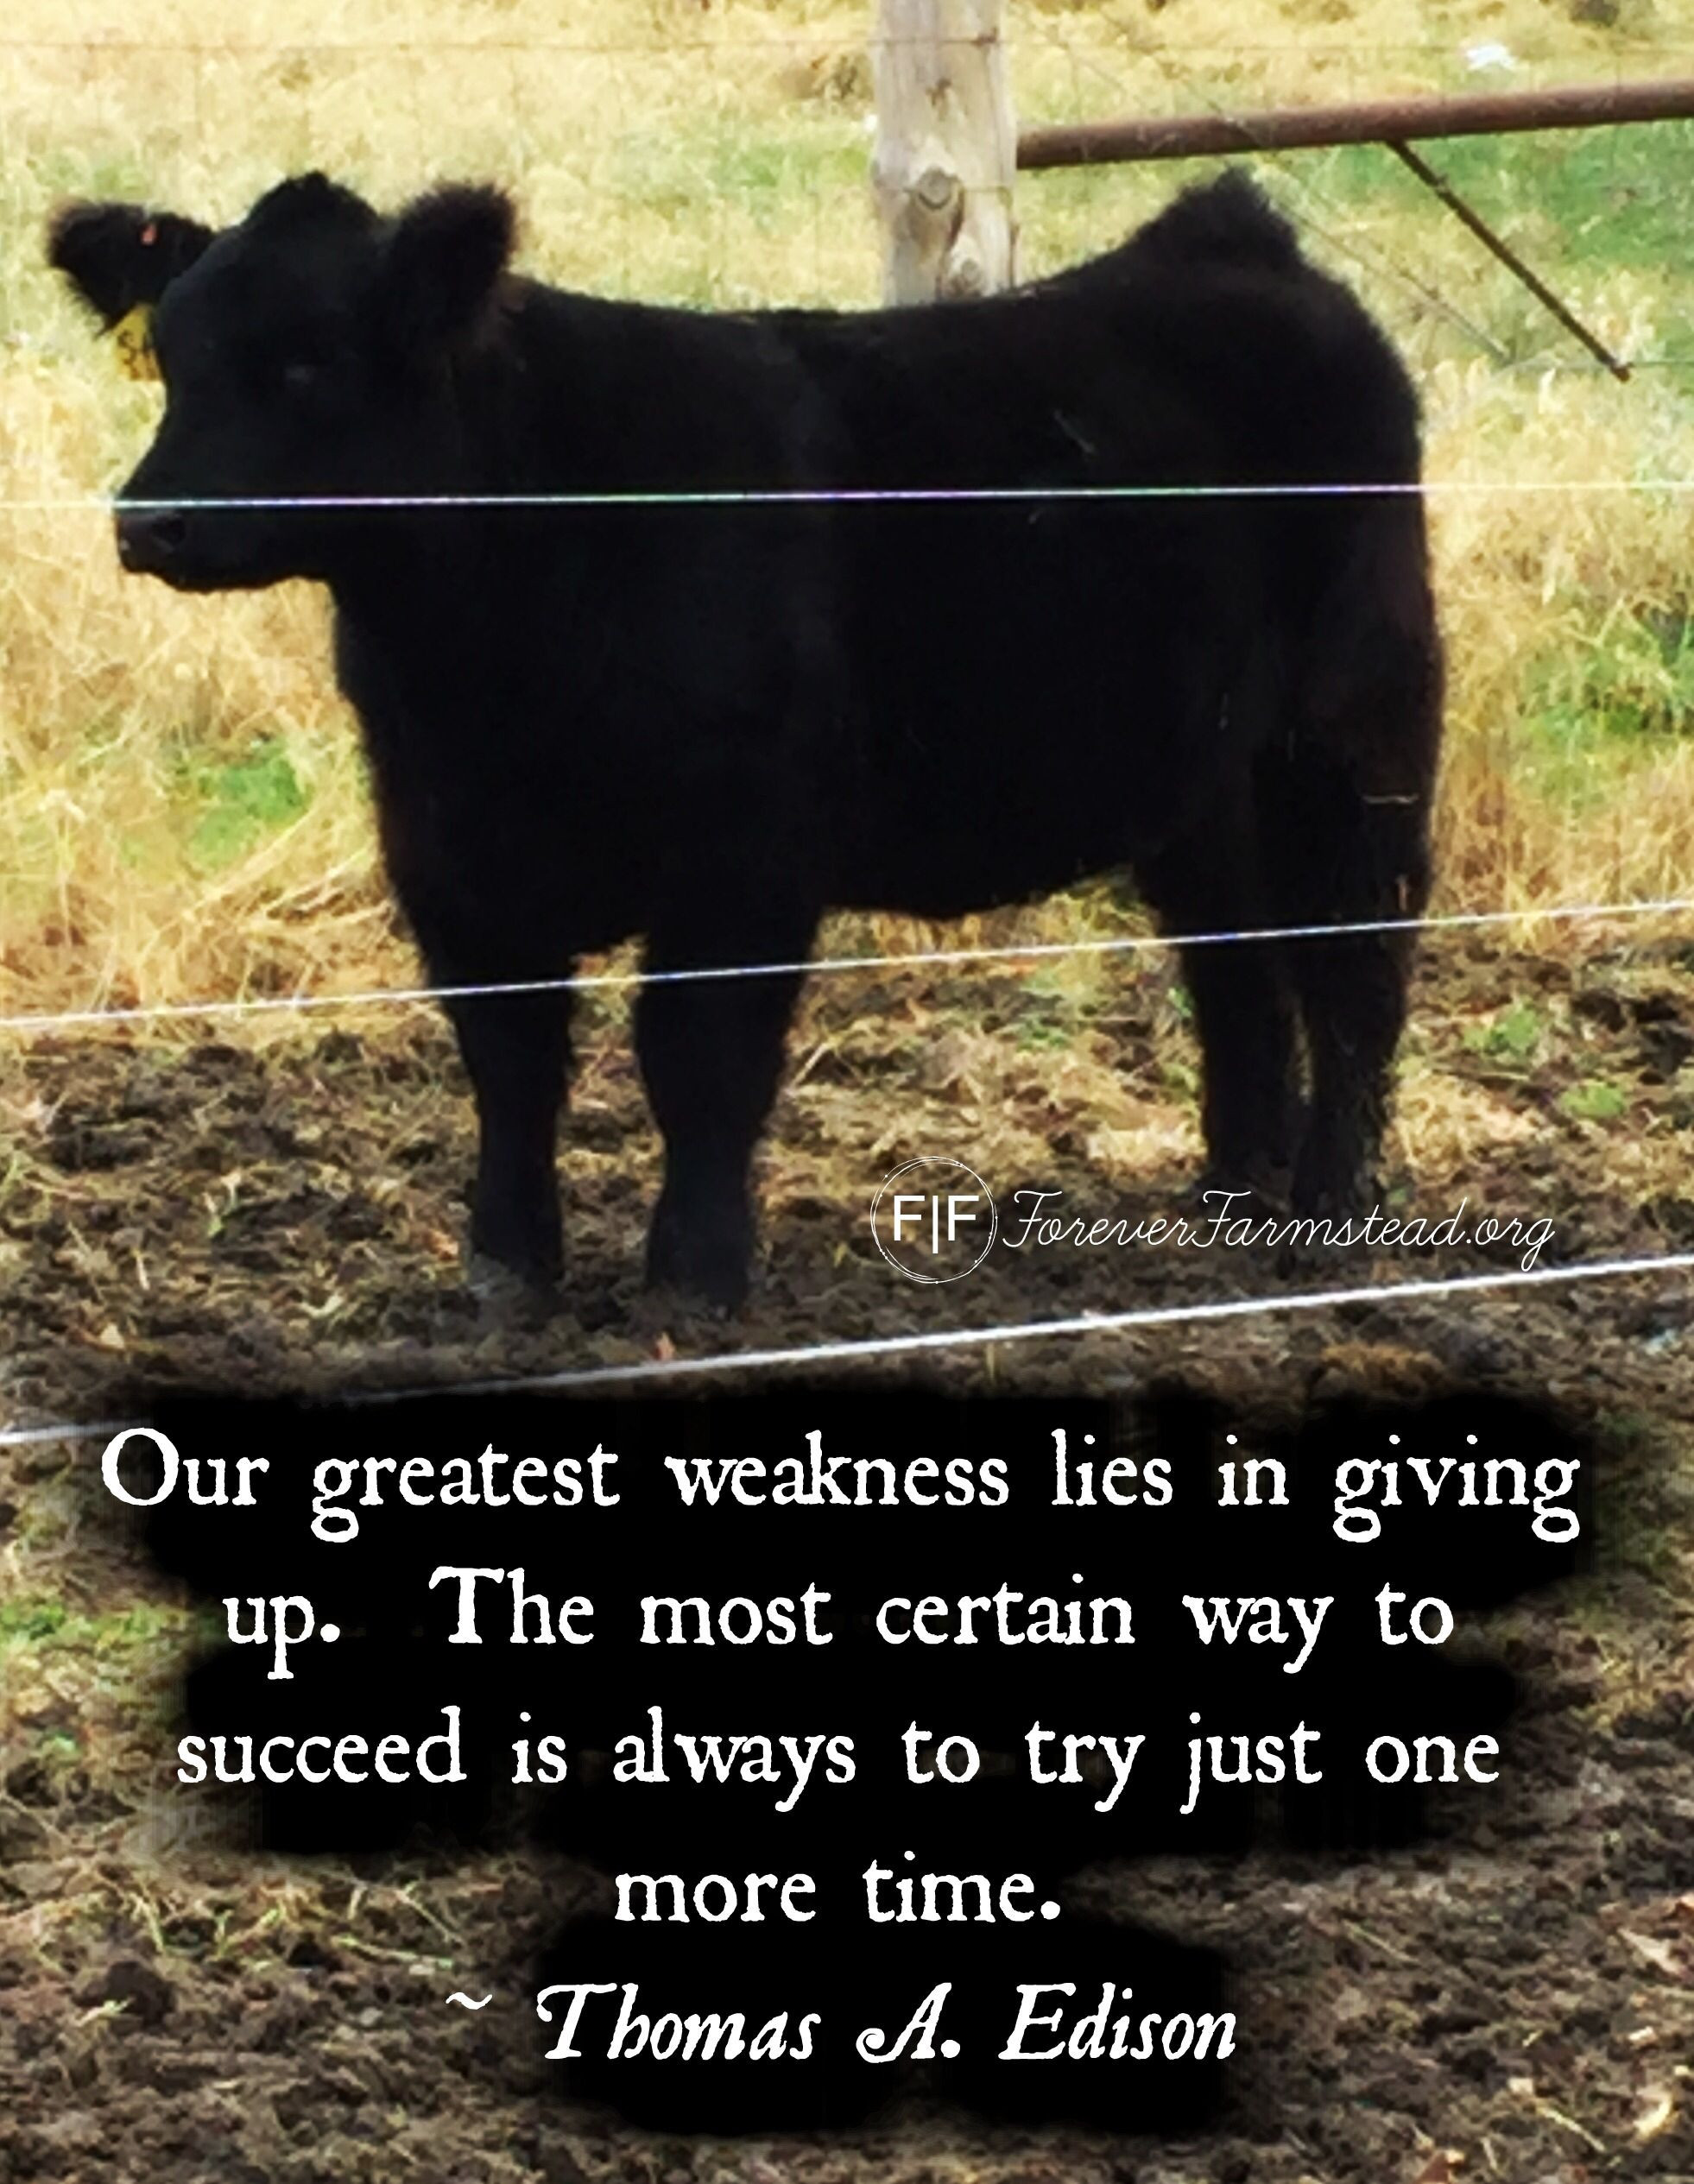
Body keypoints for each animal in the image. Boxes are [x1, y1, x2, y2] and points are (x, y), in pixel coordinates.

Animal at [46, 170, 1433, 1310]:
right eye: (173, 358)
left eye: (310, 363)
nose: (150, 522)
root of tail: (1226, 240)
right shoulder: (444, 846)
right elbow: (508, 1058)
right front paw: (505, 1274)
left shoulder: (743, 854)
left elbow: (696, 1054)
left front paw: (693, 1280)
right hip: (1197, 774)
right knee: (1235, 965)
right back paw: (1228, 1194)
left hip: (1348, 727)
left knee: (1355, 951)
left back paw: (1330, 1207)